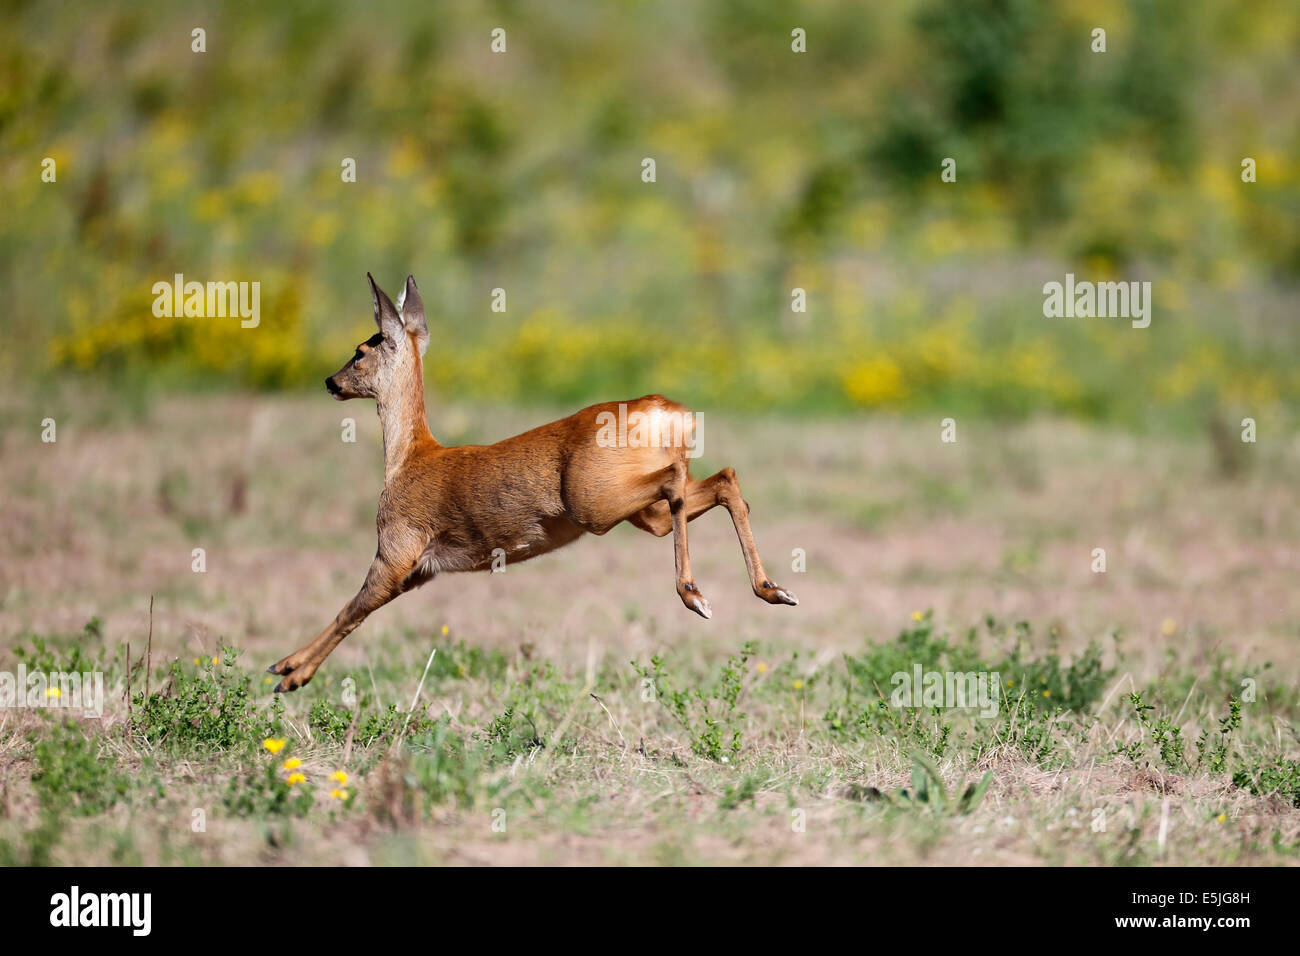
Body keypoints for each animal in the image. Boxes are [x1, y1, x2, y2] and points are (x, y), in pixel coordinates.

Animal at [269, 273, 795, 691]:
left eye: (361, 350)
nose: (330, 381)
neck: (409, 458)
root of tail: (669, 412)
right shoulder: (421, 572)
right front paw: (289, 670)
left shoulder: (397, 551)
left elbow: (351, 609)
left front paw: (287, 672)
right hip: (640, 513)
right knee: (722, 480)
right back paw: (773, 589)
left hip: (593, 502)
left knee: (677, 481)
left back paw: (695, 594)